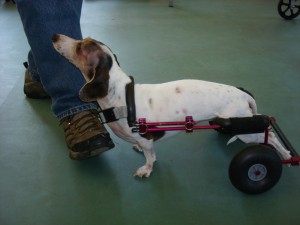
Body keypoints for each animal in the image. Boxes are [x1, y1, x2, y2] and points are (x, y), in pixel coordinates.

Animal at [51, 33, 290, 178]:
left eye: (80, 46)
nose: (54, 36)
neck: (121, 97)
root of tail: (243, 93)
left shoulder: (146, 139)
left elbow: (150, 157)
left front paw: (146, 170)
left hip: (247, 130)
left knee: (272, 135)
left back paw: (286, 156)